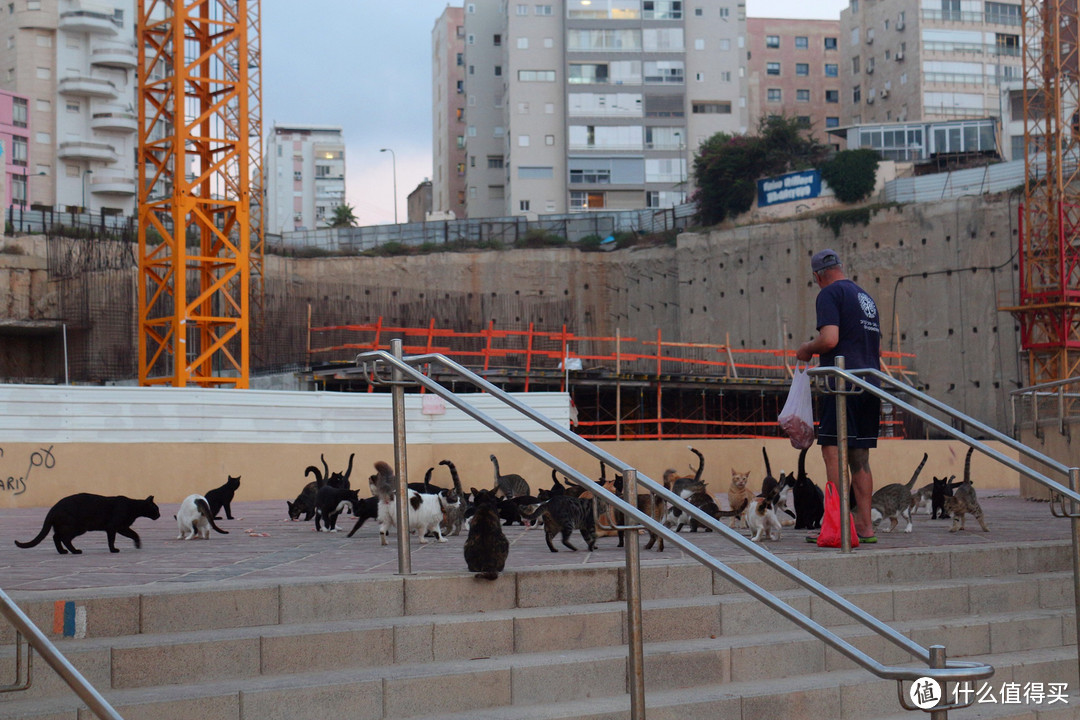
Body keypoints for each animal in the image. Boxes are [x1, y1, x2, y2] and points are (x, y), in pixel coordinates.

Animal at [15, 492, 159, 557]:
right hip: (77, 527)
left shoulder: (120, 528)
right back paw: (75, 551)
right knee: (64, 538)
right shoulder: (115, 527)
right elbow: (113, 539)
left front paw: (137, 544)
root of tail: (54, 507)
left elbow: (132, 534)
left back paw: (62, 551)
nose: (159, 515)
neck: (133, 508)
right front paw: (114, 550)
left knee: (56, 537)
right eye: (156, 509)